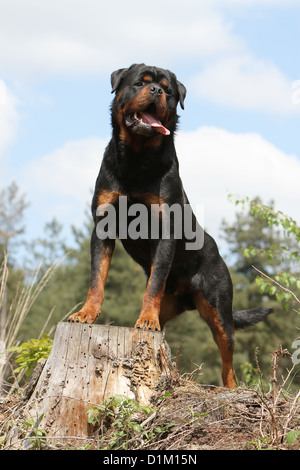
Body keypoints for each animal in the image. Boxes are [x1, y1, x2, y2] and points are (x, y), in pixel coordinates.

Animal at [68, 62, 272, 388]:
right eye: (141, 83)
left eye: (169, 90)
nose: (156, 91)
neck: (137, 158)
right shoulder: (103, 225)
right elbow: (97, 278)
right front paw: (87, 313)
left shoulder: (165, 230)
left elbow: (154, 281)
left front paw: (145, 320)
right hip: (174, 306)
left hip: (220, 309)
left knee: (227, 362)